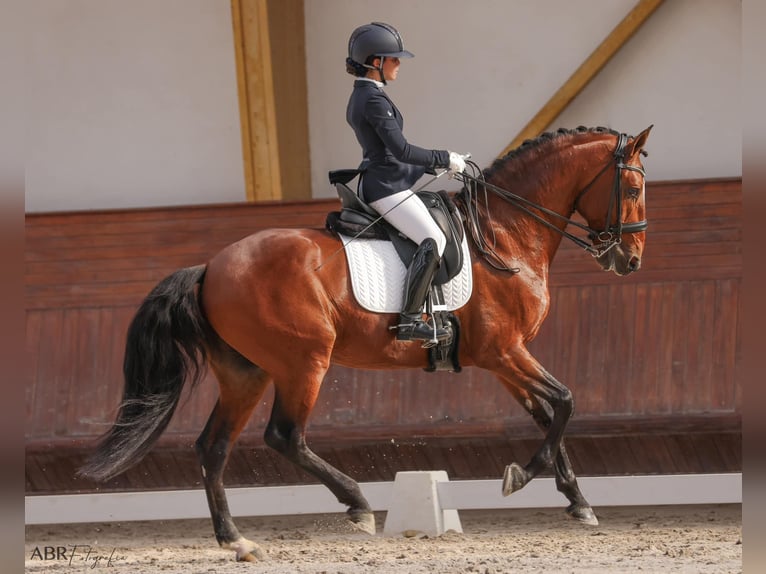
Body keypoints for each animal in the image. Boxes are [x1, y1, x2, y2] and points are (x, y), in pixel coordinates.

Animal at [79, 125, 656, 564]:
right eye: (631, 190)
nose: (629, 260)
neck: (506, 234)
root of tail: (209, 268)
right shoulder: (504, 352)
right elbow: (565, 402)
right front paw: (520, 476)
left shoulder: (501, 358)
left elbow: (548, 414)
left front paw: (577, 501)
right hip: (303, 362)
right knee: (284, 436)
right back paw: (356, 504)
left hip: (247, 373)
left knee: (213, 447)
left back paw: (236, 540)